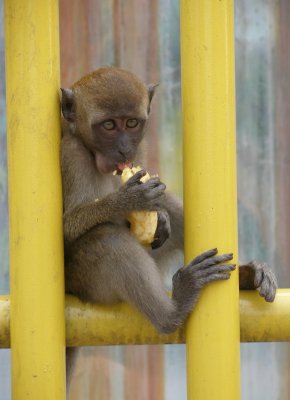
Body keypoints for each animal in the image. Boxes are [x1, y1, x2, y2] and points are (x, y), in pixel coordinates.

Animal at [59, 68, 278, 390]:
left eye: (132, 123)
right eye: (109, 125)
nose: (123, 149)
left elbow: (163, 204)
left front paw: (159, 215)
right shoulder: (71, 155)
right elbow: (64, 230)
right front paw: (127, 200)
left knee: (170, 210)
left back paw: (247, 276)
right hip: (84, 281)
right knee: (107, 239)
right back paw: (172, 311)